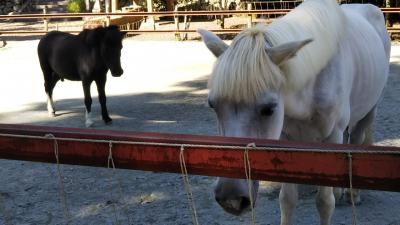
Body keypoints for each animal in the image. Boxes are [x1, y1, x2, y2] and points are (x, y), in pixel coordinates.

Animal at [198, 0, 390, 223]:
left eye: (269, 109)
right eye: (213, 105)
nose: (231, 199)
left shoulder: (332, 136)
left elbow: (325, 203)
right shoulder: (285, 138)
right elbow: (287, 200)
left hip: (369, 112)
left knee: (357, 139)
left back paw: (353, 194)